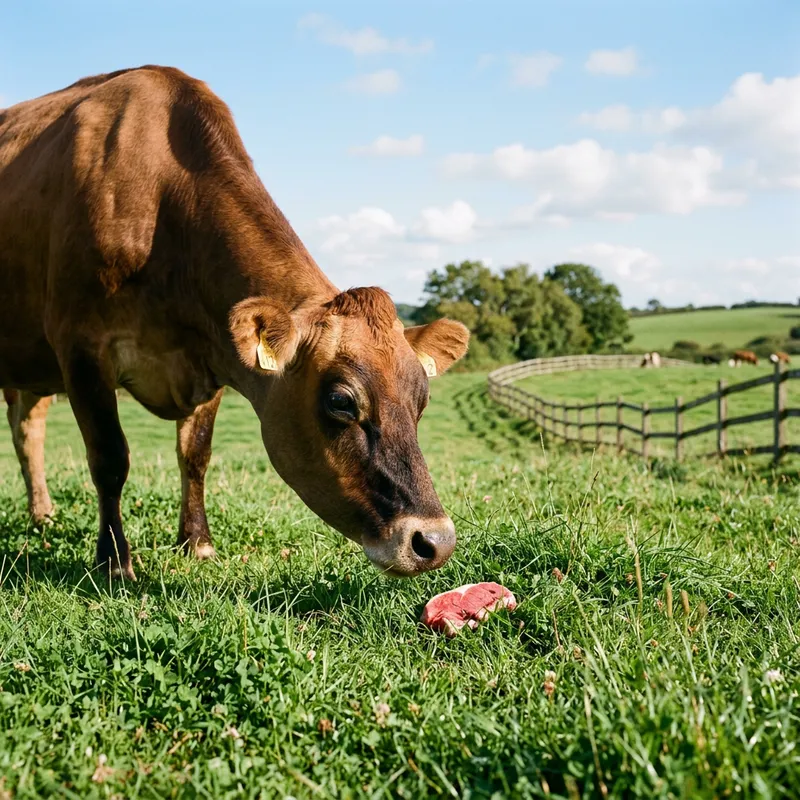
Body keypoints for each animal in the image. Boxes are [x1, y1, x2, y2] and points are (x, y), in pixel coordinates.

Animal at [0, 66, 470, 581]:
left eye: (422, 400)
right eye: (341, 401)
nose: (434, 542)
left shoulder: (210, 355)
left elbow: (195, 454)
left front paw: (197, 543)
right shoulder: (81, 347)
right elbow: (109, 457)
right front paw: (114, 562)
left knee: (27, 428)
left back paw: (42, 516)